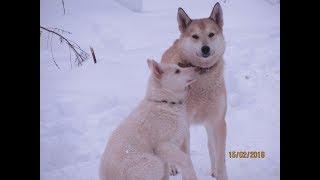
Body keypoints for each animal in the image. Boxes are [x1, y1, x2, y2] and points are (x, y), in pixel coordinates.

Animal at [162, 2, 228, 180]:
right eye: (195, 36)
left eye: (211, 34)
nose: (205, 48)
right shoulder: (184, 127)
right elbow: (186, 164)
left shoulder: (218, 121)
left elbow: (220, 159)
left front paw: (219, 172)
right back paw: (171, 168)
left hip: (208, 124)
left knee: (210, 146)